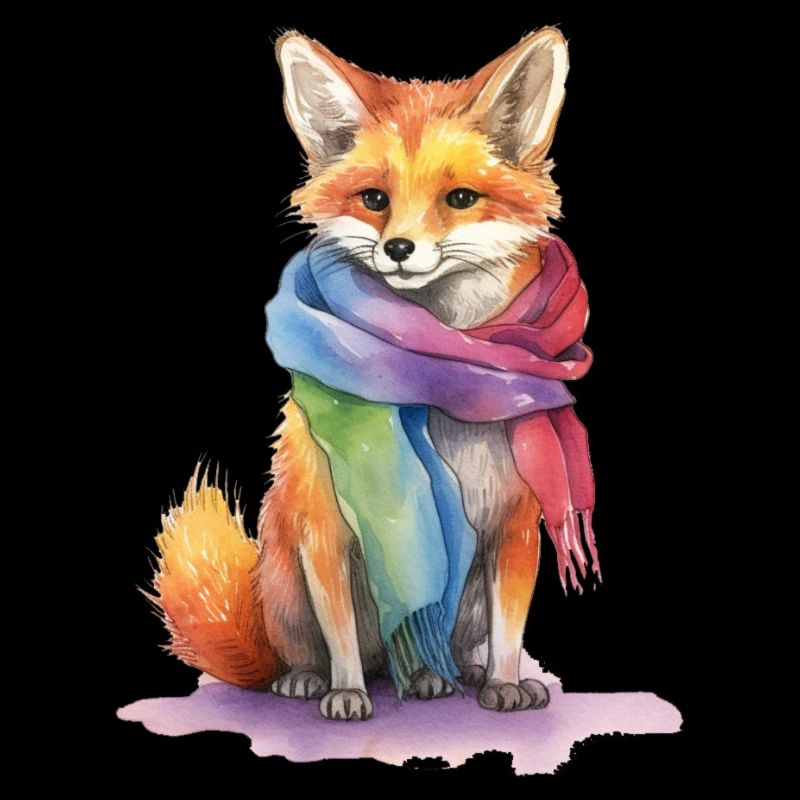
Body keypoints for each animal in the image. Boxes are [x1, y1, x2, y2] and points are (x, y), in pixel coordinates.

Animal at [152, 27, 577, 721]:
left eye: (460, 199)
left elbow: (510, 631)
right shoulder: (327, 534)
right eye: (375, 199)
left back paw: (443, 674)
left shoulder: (515, 527)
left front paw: (505, 682)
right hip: (287, 580)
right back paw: (312, 680)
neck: (435, 382)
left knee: (431, 647)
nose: (398, 249)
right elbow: (342, 634)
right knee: (308, 652)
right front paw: (346, 692)